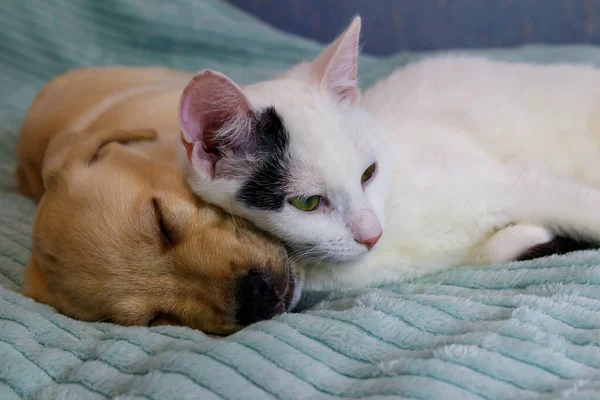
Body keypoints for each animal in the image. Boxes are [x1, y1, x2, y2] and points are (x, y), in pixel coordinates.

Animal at [180, 16, 600, 290]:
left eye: (368, 173)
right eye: (307, 202)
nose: (372, 235)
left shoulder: (515, 180)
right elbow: (488, 251)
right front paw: (527, 235)